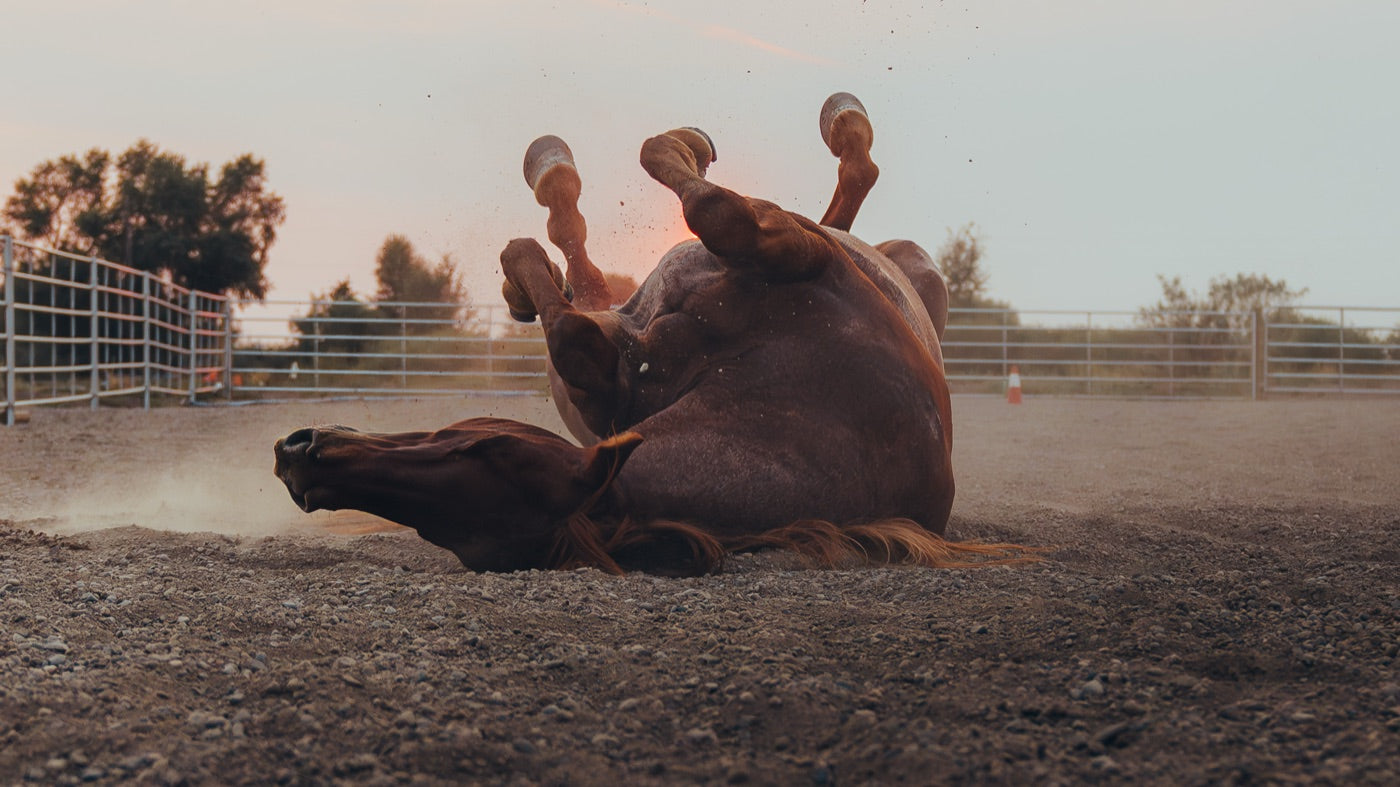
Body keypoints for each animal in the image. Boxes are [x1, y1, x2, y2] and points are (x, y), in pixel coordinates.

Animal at [274, 93, 1029, 575]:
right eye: (438, 532)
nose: (299, 457)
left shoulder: (793, 253)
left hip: (891, 260)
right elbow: (573, 315)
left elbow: (712, 209)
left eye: (485, 447)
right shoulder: (627, 356)